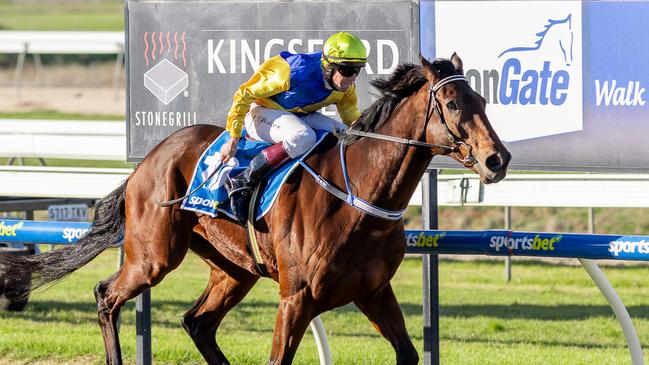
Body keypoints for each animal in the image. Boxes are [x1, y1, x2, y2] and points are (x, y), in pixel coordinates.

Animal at [0, 52, 506, 362]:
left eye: (482, 98)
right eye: (452, 103)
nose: (497, 159)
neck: (359, 196)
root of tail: (148, 159)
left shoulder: (373, 290)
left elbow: (408, 352)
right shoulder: (296, 297)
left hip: (233, 268)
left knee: (198, 323)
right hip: (153, 256)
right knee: (107, 296)